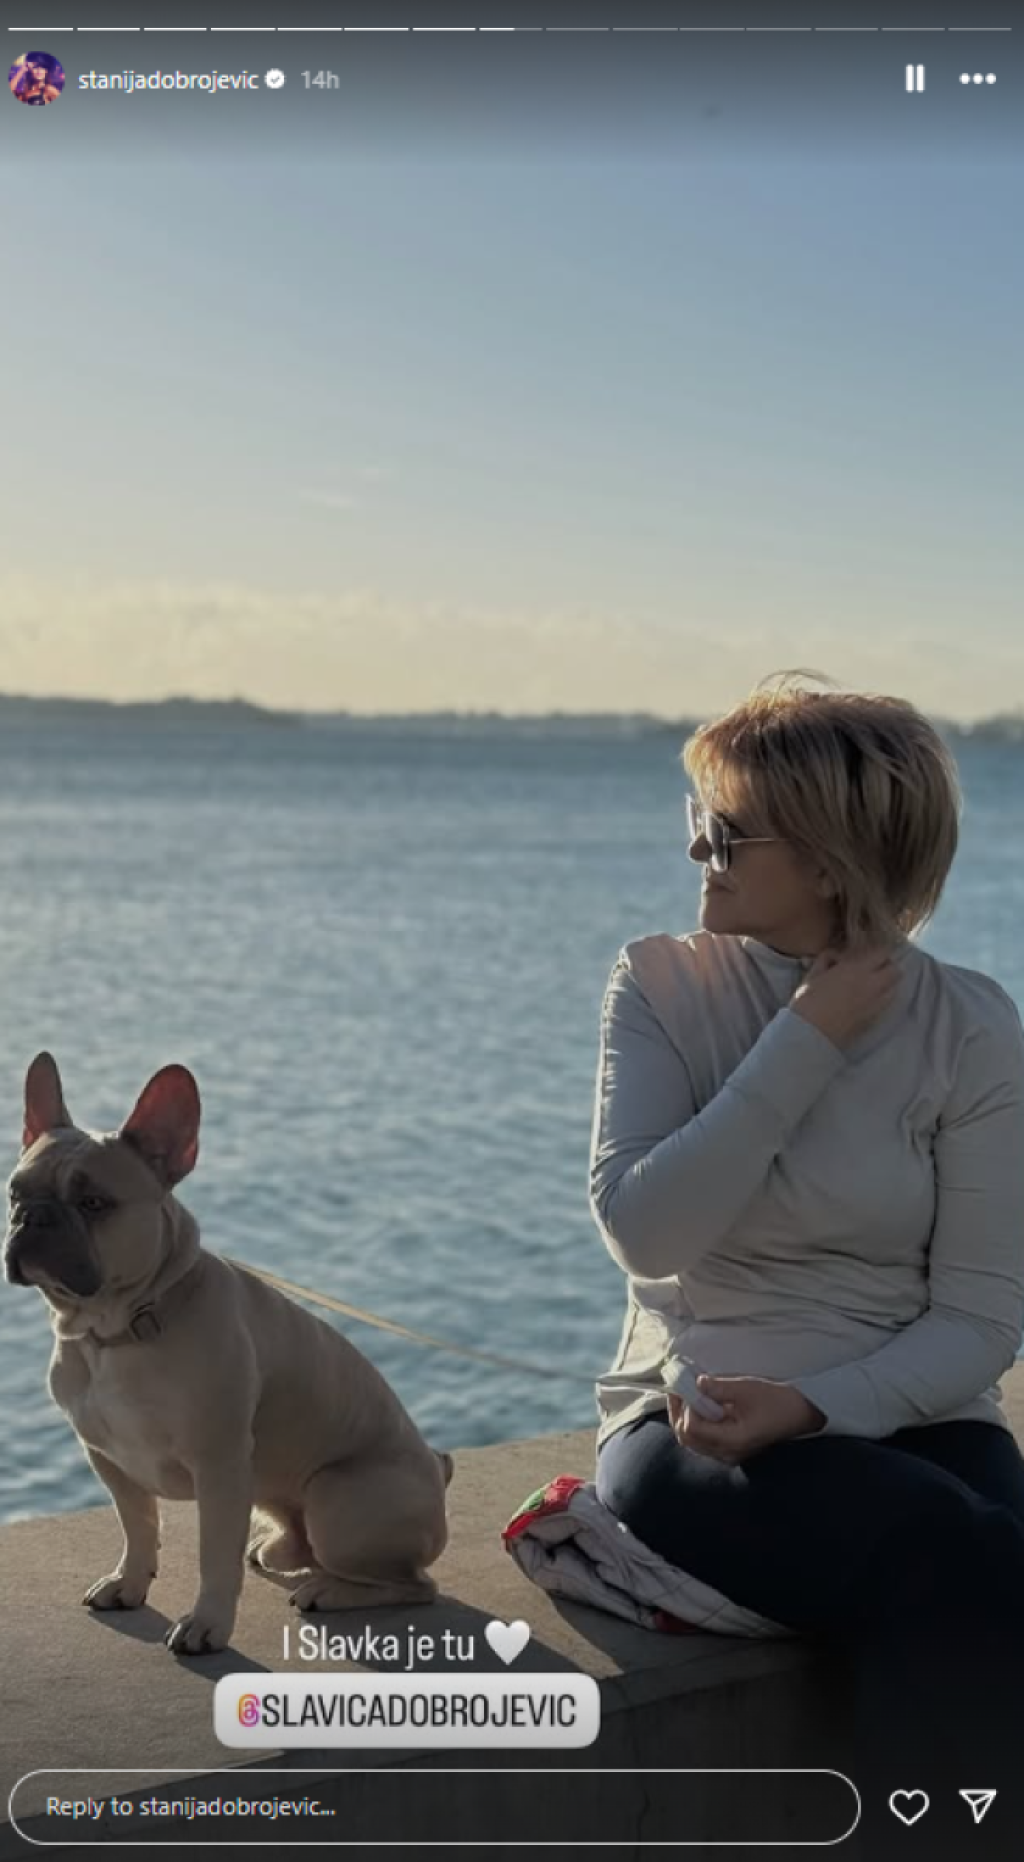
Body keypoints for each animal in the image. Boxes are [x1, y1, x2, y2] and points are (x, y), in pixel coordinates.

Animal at [3, 1052, 453, 1655]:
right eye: (15, 1193)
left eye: (93, 1203)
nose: (33, 1217)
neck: (122, 1330)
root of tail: (437, 1472)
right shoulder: (108, 1457)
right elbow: (137, 1525)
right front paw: (130, 1582)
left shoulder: (219, 1467)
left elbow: (212, 1557)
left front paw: (206, 1623)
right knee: (302, 1544)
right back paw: (283, 1552)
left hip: (337, 1497)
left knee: (413, 1583)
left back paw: (329, 1590)